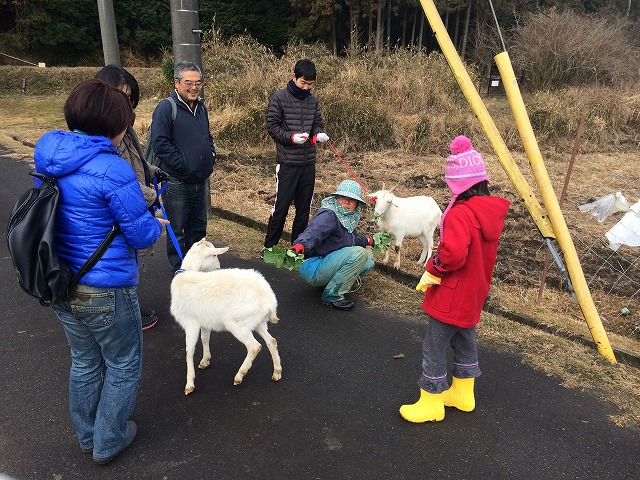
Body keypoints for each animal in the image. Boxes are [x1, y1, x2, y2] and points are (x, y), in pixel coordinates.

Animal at [171, 238, 282, 396]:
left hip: (237, 323)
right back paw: (277, 373)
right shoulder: (204, 321)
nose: (218, 267)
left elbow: (189, 351)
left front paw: (189, 384)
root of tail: (270, 301)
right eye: (214, 255)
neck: (186, 275)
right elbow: (205, 339)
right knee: (271, 341)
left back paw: (239, 375)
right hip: (258, 321)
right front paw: (205, 361)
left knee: (255, 346)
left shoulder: (191, 323)